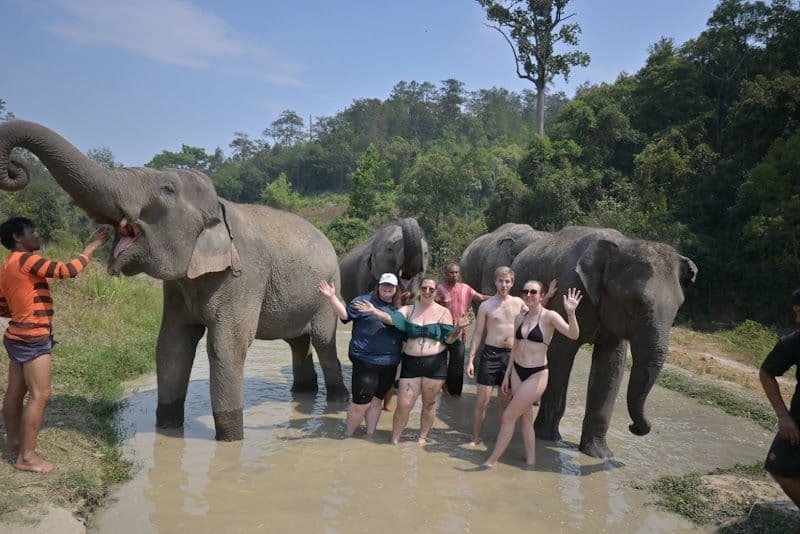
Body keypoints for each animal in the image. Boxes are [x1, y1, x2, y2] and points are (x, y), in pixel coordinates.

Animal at [0, 120, 348, 441]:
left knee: (322, 340)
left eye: (166, 190)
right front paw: (167, 429)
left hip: (329, 289)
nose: (17, 167)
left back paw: (338, 399)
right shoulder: (178, 287)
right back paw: (304, 394)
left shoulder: (245, 275)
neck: (221, 206)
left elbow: (225, 345)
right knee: (298, 342)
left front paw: (231, 440)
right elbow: (172, 343)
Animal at [507, 226, 697, 459]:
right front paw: (548, 438)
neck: (622, 244)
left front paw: (600, 455)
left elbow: (612, 364)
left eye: (678, 307)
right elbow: (560, 354)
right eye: (635, 302)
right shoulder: (569, 288)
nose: (634, 427)